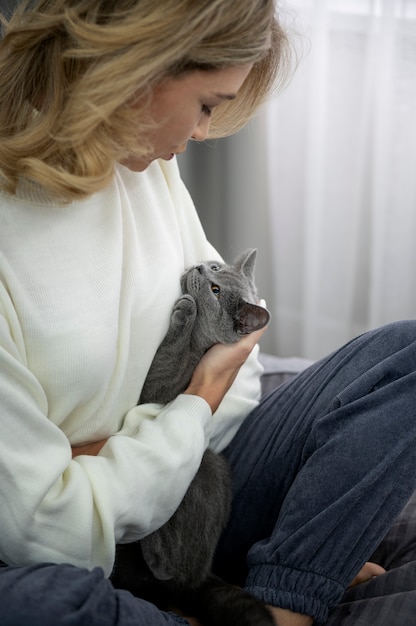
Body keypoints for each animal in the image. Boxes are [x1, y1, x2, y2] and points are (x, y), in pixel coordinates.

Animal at [111, 249, 272, 624]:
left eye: (215, 290)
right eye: (214, 267)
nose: (199, 266)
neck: (202, 343)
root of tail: (198, 580)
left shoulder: (161, 388)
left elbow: (168, 357)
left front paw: (185, 310)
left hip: (207, 464)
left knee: (173, 563)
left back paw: (156, 554)